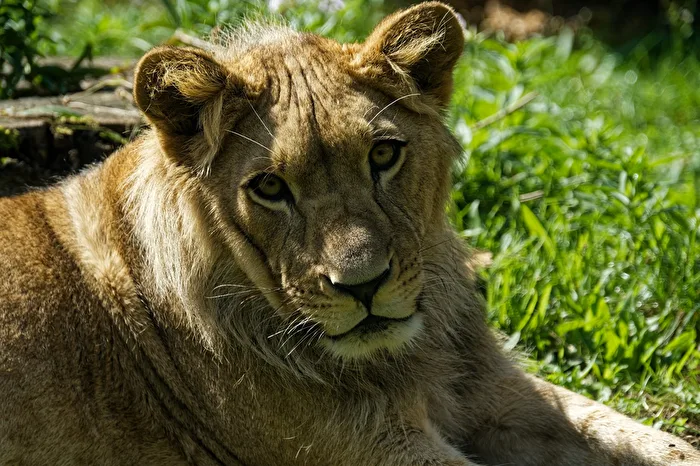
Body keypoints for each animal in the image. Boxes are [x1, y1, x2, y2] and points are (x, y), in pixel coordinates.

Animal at [0, 3, 697, 465]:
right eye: (270, 188)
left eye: (384, 155)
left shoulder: (492, 390)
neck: (406, 360)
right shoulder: (367, 450)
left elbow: (658, 443)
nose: (363, 287)